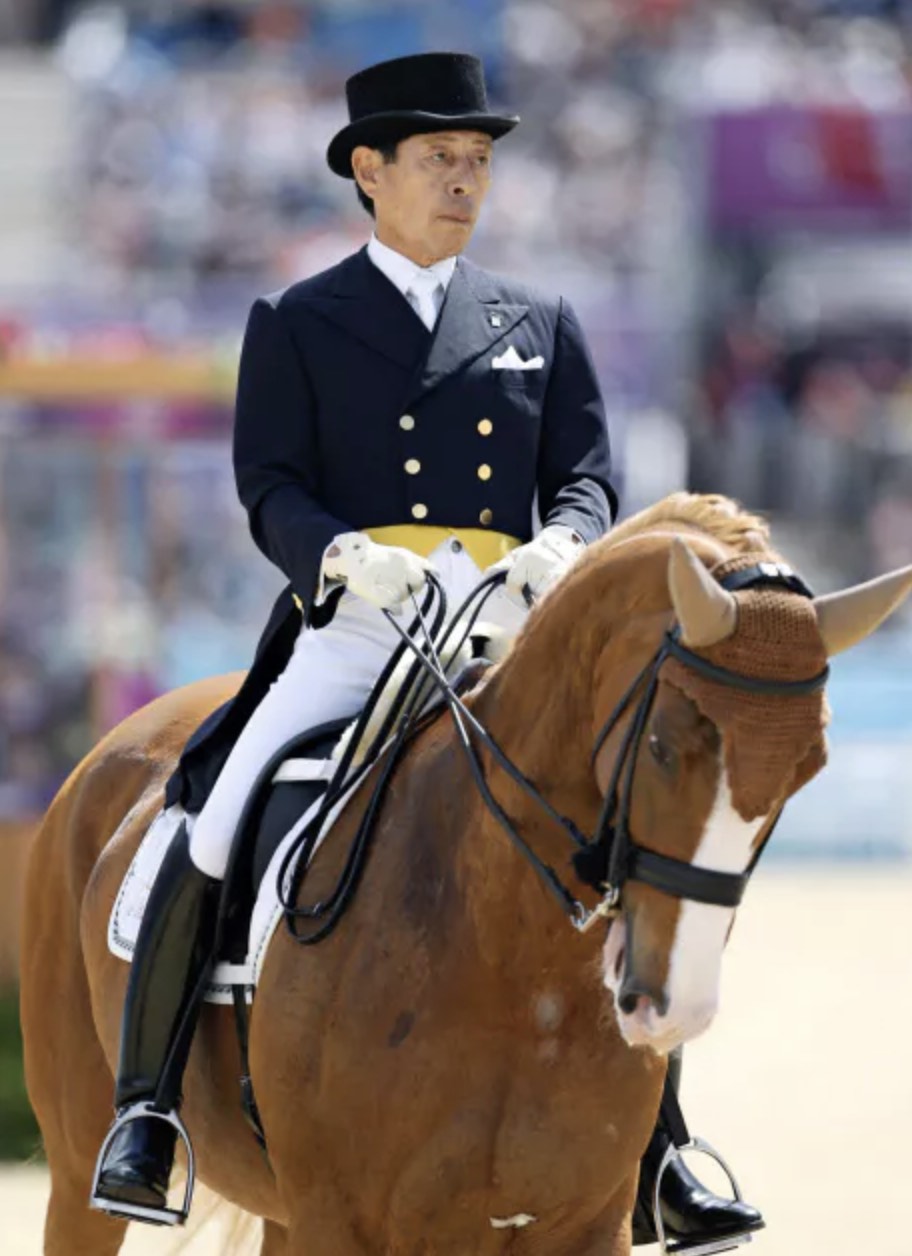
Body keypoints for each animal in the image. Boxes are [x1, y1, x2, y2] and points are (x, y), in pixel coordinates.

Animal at [20, 492, 912, 1256]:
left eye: (808, 768)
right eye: (664, 746)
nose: (675, 1005)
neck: (510, 960)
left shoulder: (582, 1227)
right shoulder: (344, 1222)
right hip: (80, 1166)